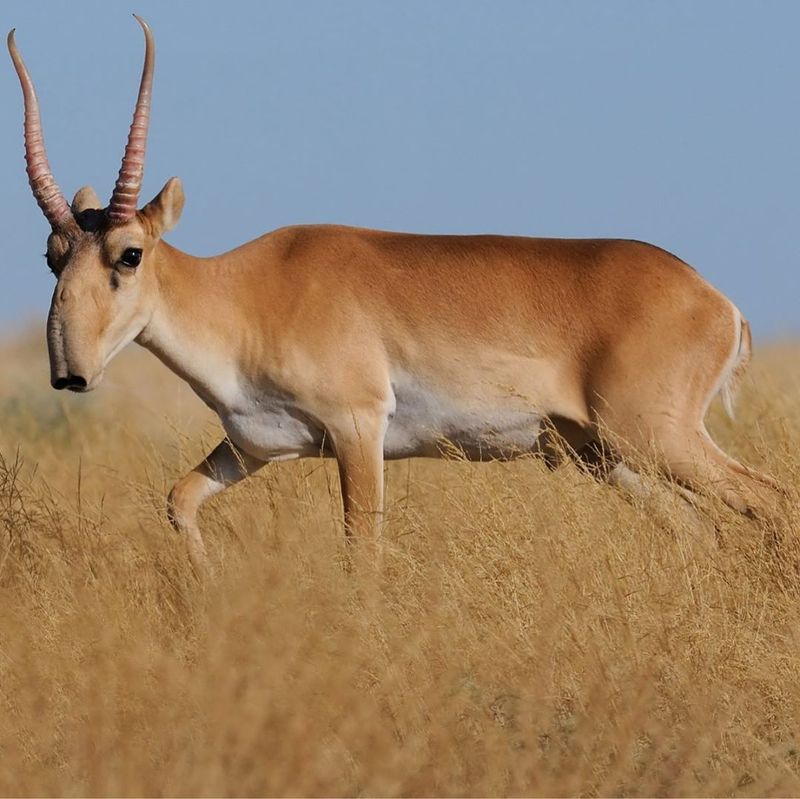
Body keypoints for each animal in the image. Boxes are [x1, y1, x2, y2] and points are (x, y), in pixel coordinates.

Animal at [7, 18, 780, 568]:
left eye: (129, 253)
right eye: (52, 256)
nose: (70, 373)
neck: (245, 294)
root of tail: (715, 300)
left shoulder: (358, 431)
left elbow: (364, 556)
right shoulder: (253, 447)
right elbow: (179, 500)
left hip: (655, 438)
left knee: (769, 500)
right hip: (610, 456)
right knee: (703, 532)